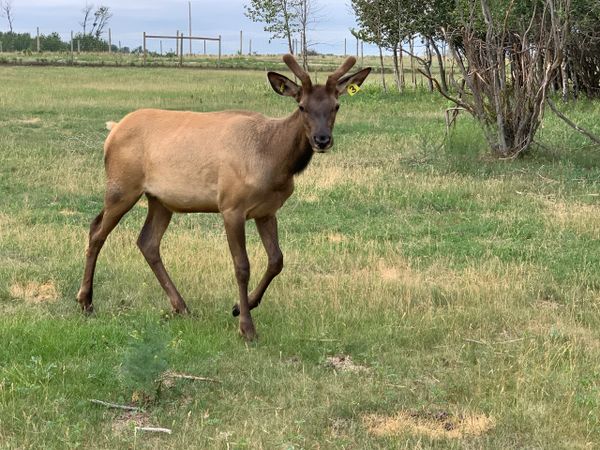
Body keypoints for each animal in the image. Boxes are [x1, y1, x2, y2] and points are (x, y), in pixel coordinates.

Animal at [77, 54, 370, 340]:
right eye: (301, 106)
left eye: (336, 106)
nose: (322, 139)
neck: (274, 161)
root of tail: (113, 130)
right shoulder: (231, 206)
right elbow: (242, 266)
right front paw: (246, 327)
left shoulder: (267, 210)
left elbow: (277, 260)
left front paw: (240, 305)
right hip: (122, 186)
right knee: (97, 232)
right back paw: (86, 301)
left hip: (160, 200)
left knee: (146, 241)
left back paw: (181, 306)